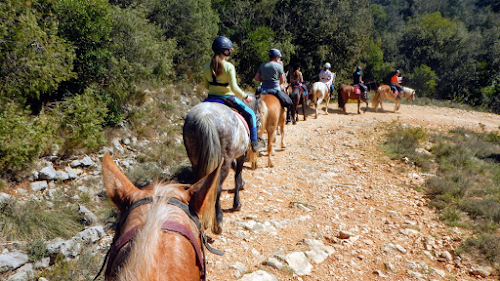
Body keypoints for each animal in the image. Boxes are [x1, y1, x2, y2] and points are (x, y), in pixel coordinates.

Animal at [183, 97, 258, 233]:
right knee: (216, 188)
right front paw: (237, 204)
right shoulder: (241, 155)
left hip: (195, 160)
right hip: (223, 163)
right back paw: (218, 222)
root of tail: (205, 116)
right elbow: (237, 175)